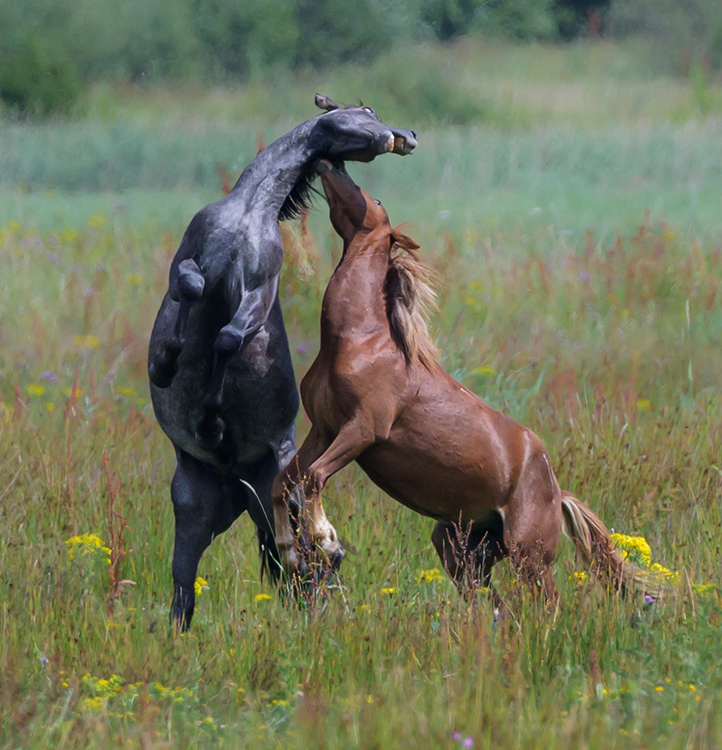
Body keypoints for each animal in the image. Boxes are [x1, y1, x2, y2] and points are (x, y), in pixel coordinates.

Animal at [148, 95, 418, 629]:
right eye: (366, 112)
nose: (404, 137)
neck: (249, 213)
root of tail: (236, 483)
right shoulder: (192, 257)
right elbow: (188, 286)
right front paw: (165, 363)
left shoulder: (256, 291)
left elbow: (229, 339)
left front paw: (210, 419)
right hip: (193, 515)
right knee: (185, 592)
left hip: (276, 502)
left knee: (310, 566)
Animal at [271, 161, 650, 607]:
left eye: (375, 200)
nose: (330, 164)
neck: (359, 340)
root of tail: (559, 495)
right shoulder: (325, 429)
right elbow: (283, 483)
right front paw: (289, 551)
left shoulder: (363, 429)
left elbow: (312, 479)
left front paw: (328, 543)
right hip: (461, 548)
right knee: (495, 606)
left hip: (528, 554)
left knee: (546, 604)